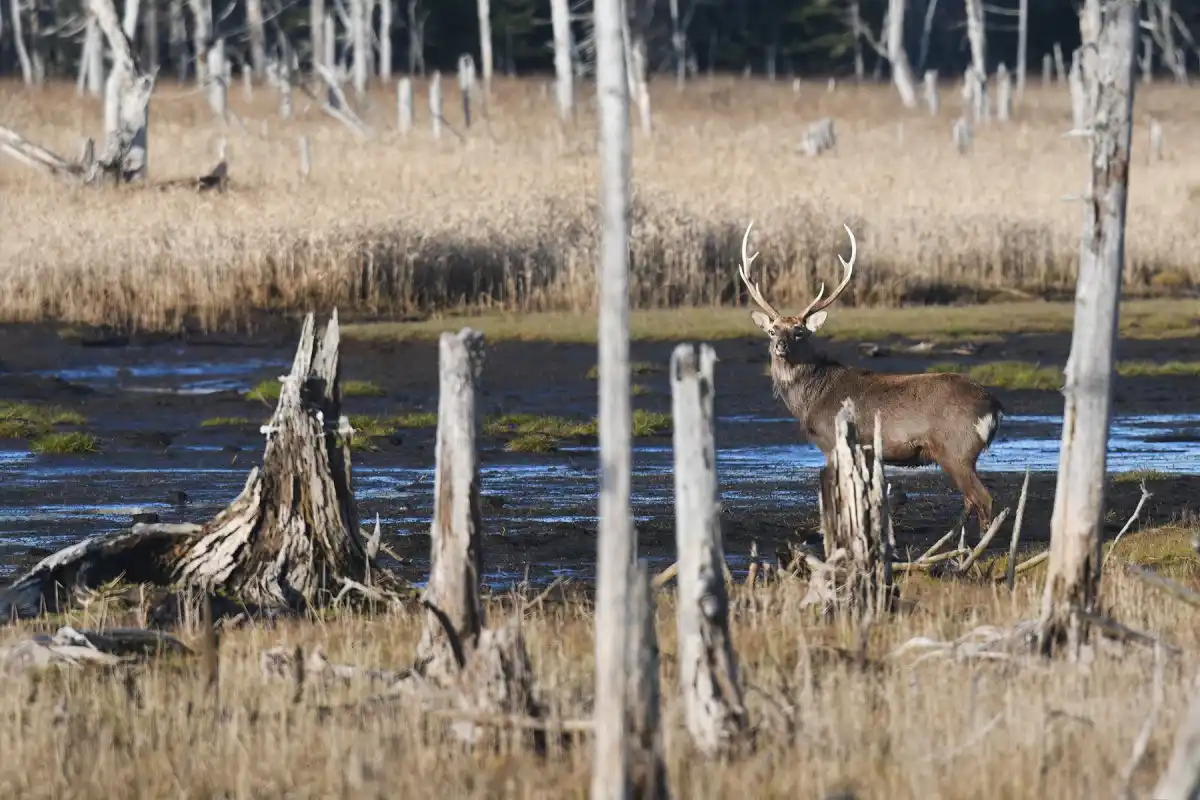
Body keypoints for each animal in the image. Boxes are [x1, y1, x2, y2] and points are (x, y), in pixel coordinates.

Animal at [737, 221, 1005, 533]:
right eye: (772, 330)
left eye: (799, 332)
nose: (780, 346)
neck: (812, 398)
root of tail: (995, 407)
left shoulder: (833, 441)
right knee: (970, 501)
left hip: (957, 448)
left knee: (984, 499)